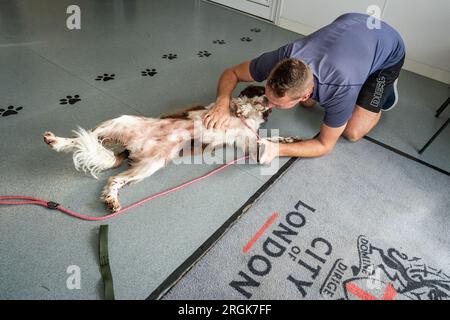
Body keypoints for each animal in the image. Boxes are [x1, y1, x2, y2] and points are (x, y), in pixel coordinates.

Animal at [44, 85, 286, 212]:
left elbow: (263, 143)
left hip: (150, 164)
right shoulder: (220, 109)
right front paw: (245, 107)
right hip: (119, 122)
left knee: (114, 178)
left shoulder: (247, 141)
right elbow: (236, 103)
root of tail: (133, 146)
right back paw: (56, 141)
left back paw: (112, 199)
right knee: (83, 138)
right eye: (260, 89)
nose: (267, 98)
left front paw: (279, 141)